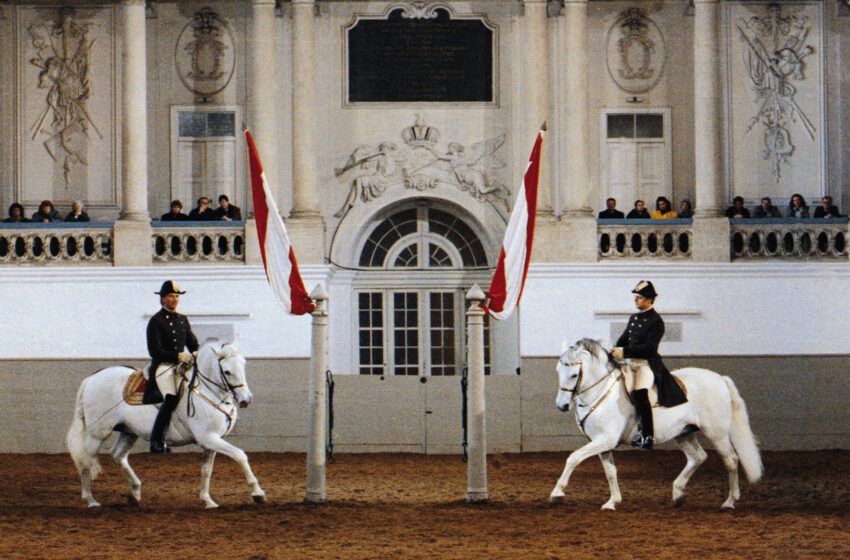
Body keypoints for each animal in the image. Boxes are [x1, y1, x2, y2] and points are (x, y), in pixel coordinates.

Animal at [65, 340, 264, 510]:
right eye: (227, 372)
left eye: (243, 365)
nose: (246, 400)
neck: (208, 392)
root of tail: (92, 379)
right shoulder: (208, 438)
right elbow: (240, 455)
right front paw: (258, 493)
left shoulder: (211, 441)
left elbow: (206, 470)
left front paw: (208, 500)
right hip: (97, 433)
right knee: (85, 460)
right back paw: (90, 500)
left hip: (129, 432)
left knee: (118, 455)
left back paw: (134, 493)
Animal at [548, 340, 760, 510]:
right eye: (558, 371)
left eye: (574, 375)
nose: (562, 405)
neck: (601, 391)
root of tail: (720, 378)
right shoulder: (601, 442)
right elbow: (610, 472)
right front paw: (612, 502)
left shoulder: (605, 439)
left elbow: (574, 458)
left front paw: (557, 494)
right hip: (683, 433)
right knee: (698, 457)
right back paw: (678, 494)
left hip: (717, 433)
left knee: (730, 460)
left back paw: (729, 502)